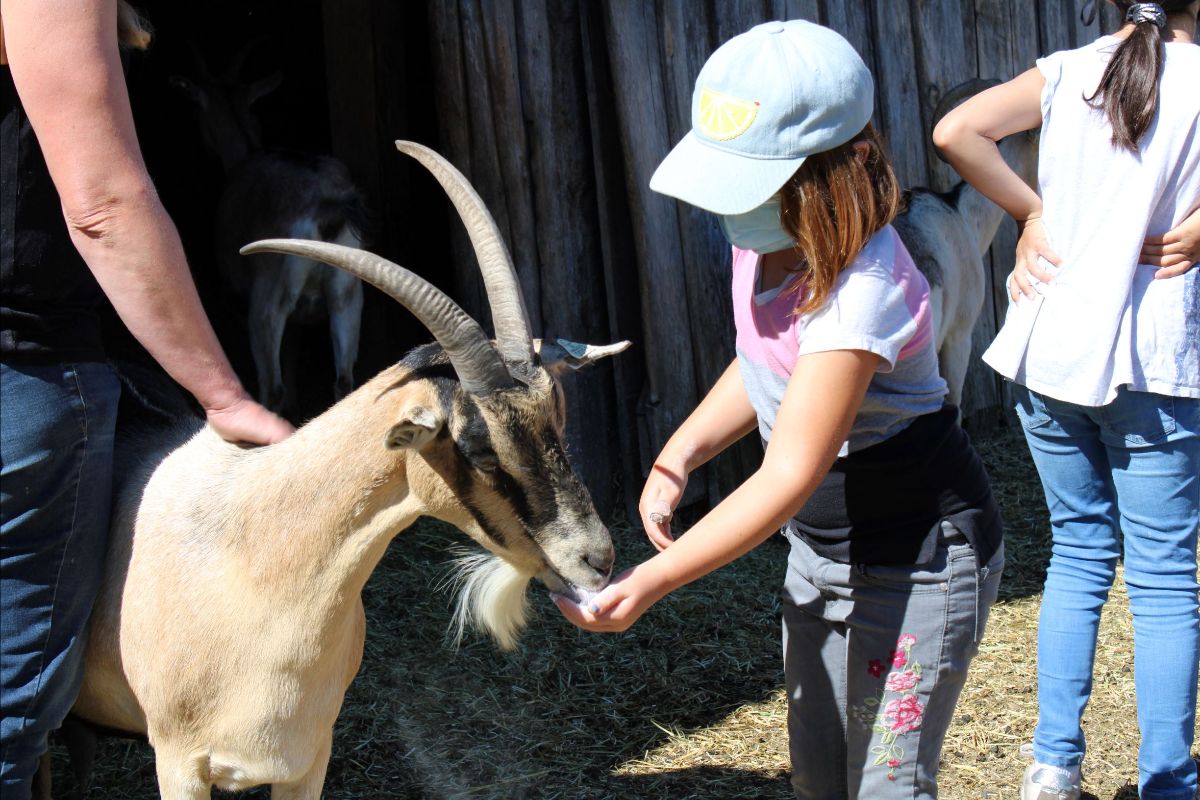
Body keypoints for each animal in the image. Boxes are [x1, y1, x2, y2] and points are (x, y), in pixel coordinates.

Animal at [66, 141, 627, 799]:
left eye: (556, 417)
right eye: (479, 448)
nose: (597, 559)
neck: (253, 558)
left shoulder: (308, 758)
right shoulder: (178, 763)